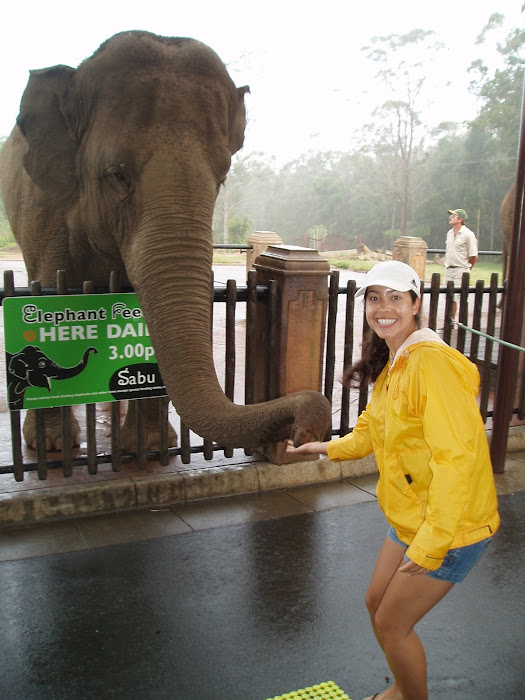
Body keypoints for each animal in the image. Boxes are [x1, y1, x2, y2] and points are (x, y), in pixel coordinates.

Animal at [0, 30, 328, 452]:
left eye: (222, 178)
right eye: (118, 175)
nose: (305, 430)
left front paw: (153, 446)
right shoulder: (44, 211)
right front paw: (56, 447)